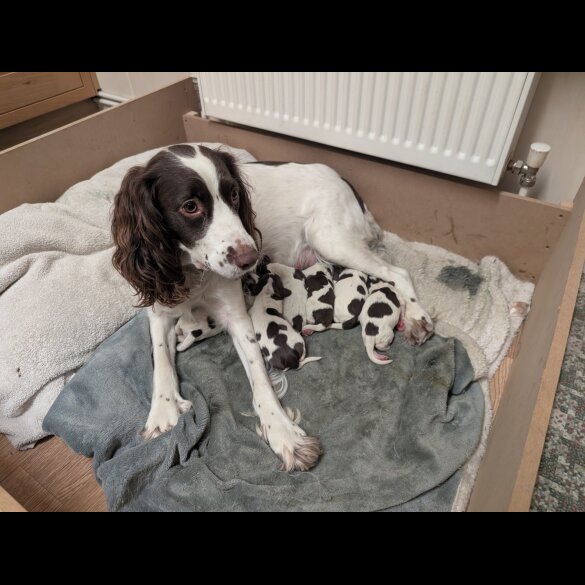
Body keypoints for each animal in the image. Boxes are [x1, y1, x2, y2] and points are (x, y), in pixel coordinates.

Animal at [112, 144, 434, 472]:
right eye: (190, 206)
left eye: (234, 195)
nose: (251, 259)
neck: (192, 270)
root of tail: (345, 182)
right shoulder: (160, 308)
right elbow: (161, 362)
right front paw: (162, 414)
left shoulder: (238, 317)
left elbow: (260, 380)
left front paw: (283, 434)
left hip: (330, 239)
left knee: (397, 274)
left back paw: (417, 319)